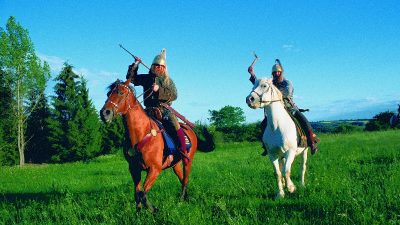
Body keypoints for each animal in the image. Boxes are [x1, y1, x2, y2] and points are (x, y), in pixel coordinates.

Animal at [100, 78, 198, 212]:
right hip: (176, 164)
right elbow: (137, 193)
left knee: (185, 179)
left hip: (187, 161)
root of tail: (189, 129)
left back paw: (181, 200)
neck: (141, 133)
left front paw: (154, 209)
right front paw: (138, 212)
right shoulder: (134, 169)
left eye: (120, 92)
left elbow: (142, 194)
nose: (104, 113)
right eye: (107, 94)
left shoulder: (154, 169)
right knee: (182, 178)